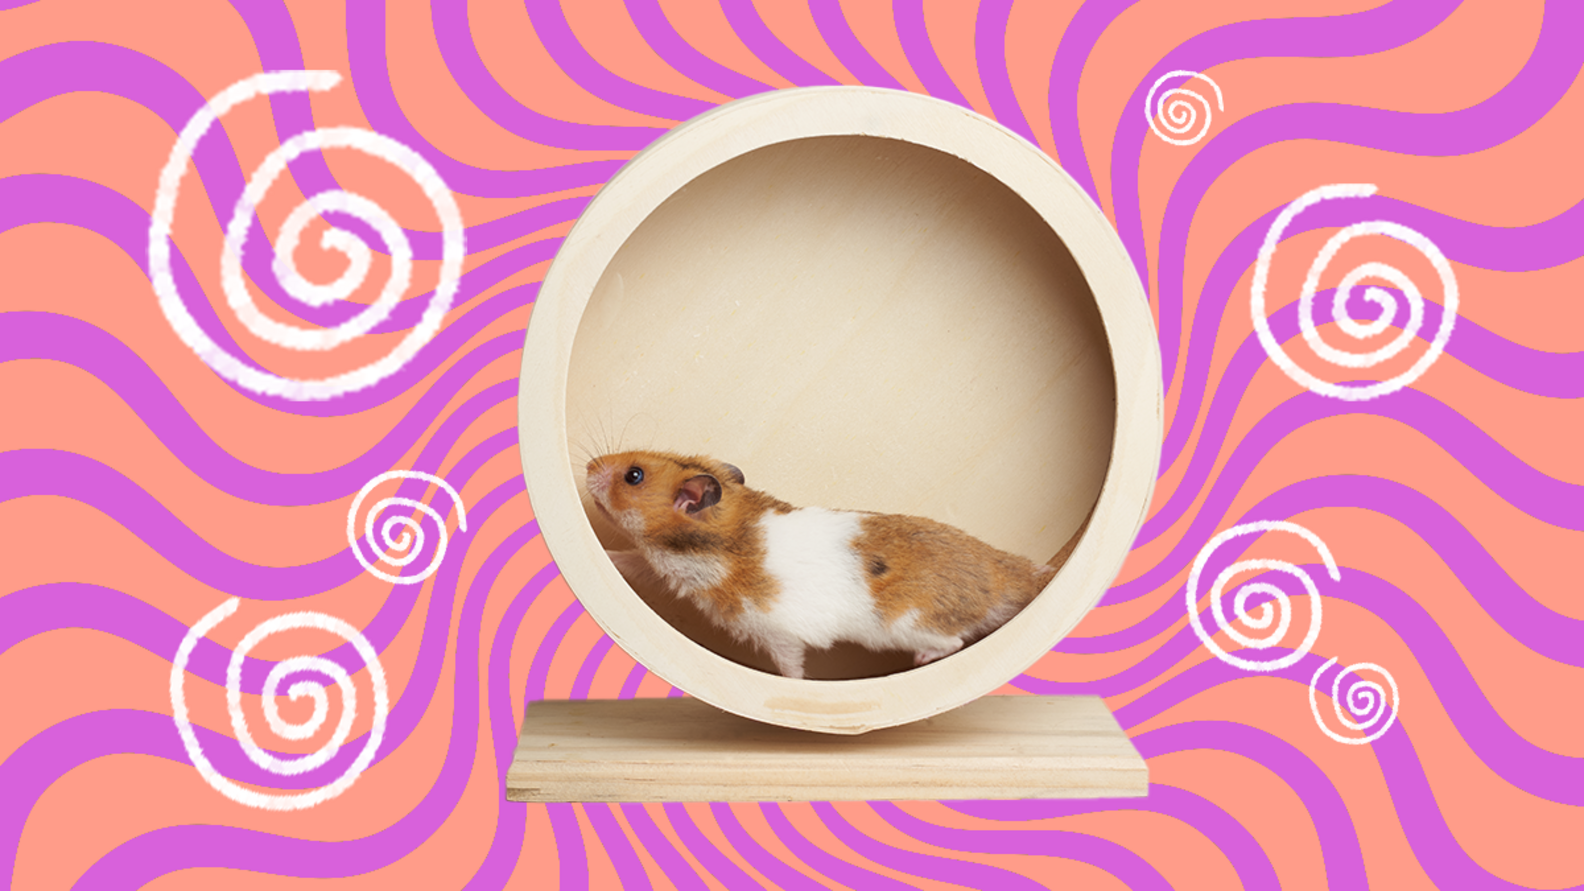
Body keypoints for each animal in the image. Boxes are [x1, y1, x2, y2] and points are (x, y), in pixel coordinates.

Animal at [584, 449, 1089, 680]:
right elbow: (630, 560)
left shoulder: (777, 633)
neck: (722, 540)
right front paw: (600, 556)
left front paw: (793, 687)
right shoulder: (659, 567)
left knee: (953, 643)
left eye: (633, 476)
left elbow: (791, 666)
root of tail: (1020, 575)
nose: (588, 466)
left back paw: (921, 660)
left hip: (910, 625)